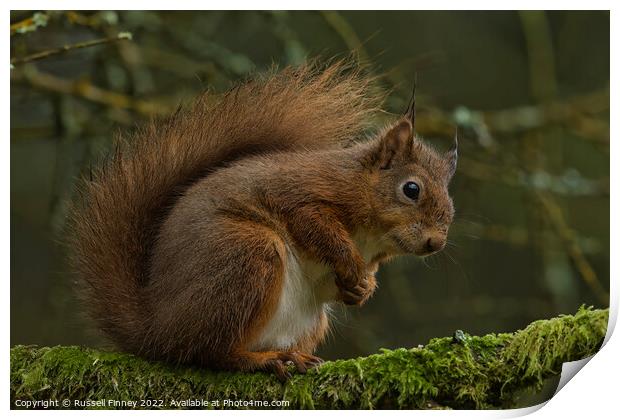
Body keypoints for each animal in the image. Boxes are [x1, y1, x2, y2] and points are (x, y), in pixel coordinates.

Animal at [68, 61, 458, 380]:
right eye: (411, 189)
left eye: (451, 204)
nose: (435, 243)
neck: (372, 235)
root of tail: (157, 329)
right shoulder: (302, 196)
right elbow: (318, 228)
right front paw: (350, 263)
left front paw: (363, 288)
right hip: (248, 254)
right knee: (208, 352)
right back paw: (264, 360)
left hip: (306, 318)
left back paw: (292, 356)